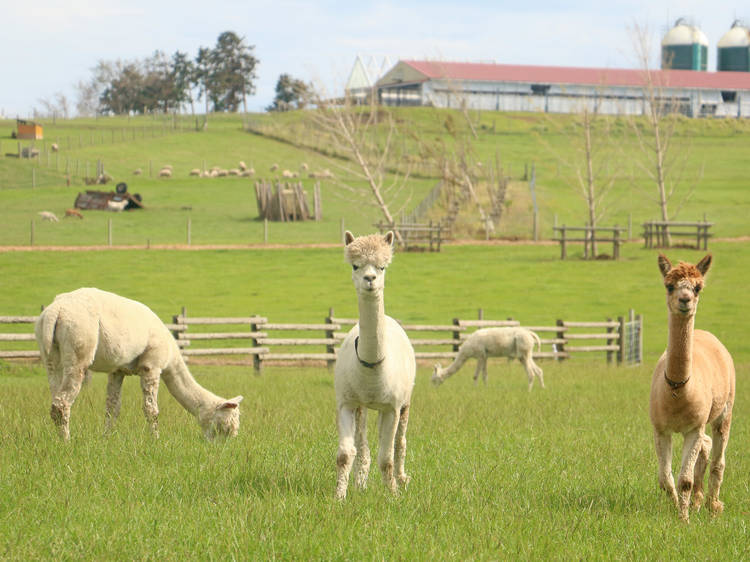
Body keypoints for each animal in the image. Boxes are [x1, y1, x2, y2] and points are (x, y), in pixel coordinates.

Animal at [35, 288, 244, 442]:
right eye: (225, 426)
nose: (222, 446)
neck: (171, 354)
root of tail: (55, 311)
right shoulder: (152, 365)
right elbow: (151, 409)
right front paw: (156, 440)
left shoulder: (117, 370)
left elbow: (112, 408)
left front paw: (106, 438)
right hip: (79, 344)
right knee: (62, 404)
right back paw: (66, 442)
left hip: (51, 355)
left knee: (55, 396)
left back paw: (59, 439)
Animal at [334, 232, 418, 498]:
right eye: (355, 265)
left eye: (382, 267)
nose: (369, 279)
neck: (372, 367)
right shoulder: (346, 402)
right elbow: (344, 455)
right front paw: (339, 496)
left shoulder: (392, 407)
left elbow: (387, 458)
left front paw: (393, 494)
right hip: (361, 405)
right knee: (362, 446)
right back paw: (360, 482)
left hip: (405, 401)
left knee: (400, 442)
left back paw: (402, 478)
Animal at [648, 254, 736, 520]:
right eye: (669, 285)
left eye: (697, 287)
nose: (685, 300)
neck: (677, 391)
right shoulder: (661, 428)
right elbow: (665, 479)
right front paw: (679, 506)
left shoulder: (693, 427)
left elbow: (684, 480)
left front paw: (683, 519)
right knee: (706, 447)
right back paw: (698, 501)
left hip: (726, 407)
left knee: (718, 458)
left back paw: (712, 505)